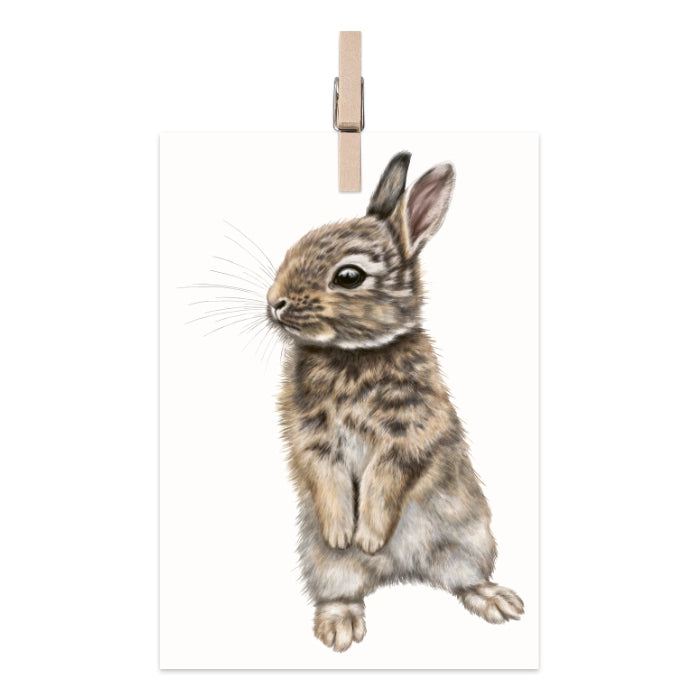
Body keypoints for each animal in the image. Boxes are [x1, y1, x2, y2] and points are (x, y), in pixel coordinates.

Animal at [266, 152, 524, 652]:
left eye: (349, 276)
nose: (274, 302)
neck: (355, 353)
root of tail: (400, 572)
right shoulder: (312, 437)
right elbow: (326, 478)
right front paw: (344, 533)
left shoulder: (409, 433)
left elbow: (385, 482)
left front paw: (368, 537)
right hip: (322, 562)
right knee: (341, 587)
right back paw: (340, 625)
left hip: (470, 540)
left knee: (462, 578)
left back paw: (496, 600)